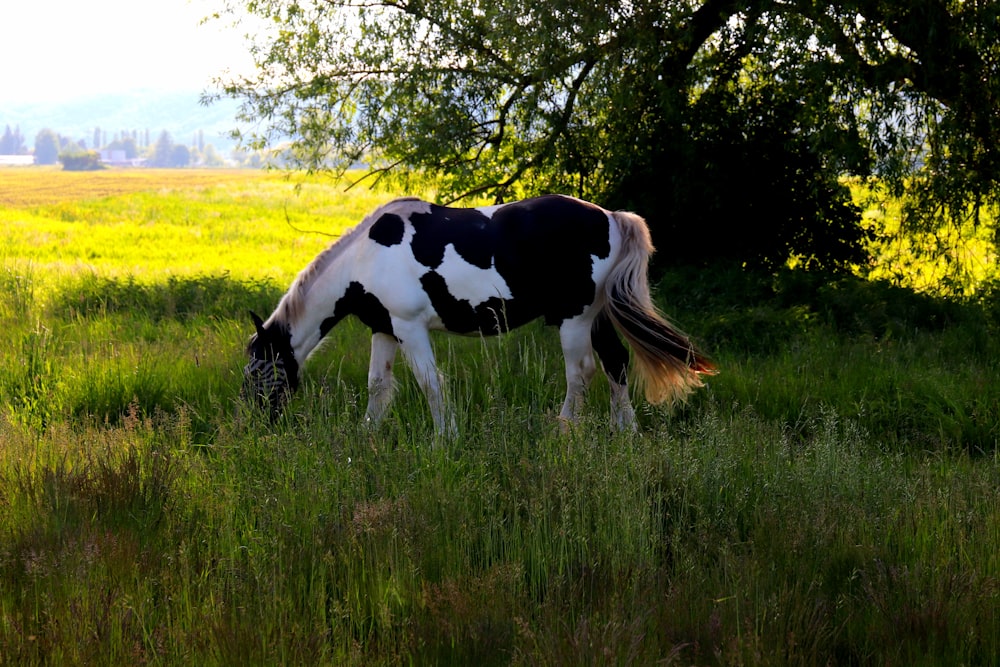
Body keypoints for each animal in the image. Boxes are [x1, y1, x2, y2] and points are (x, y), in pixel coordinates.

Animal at [245, 193, 716, 434]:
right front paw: (365, 438)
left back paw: (564, 432)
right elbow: (378, 385)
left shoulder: (410, 328)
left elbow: (430, 383)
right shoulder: (385, 329)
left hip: (576, 319)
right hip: (596, 317)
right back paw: (626, 434)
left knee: (580, 372)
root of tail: (612, 217)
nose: (253, 426)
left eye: (260, 371)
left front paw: (444, 440)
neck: (366, 256)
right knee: (615, 363)